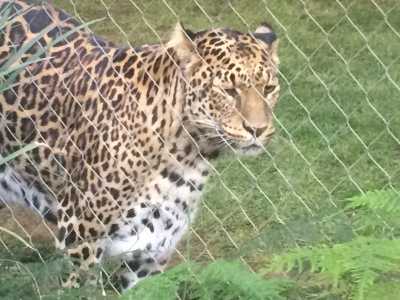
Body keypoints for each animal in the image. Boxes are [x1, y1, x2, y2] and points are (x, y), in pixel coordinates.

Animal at [0, 0, 280, 292]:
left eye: (269, 88)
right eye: (229, 91)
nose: (258, 129)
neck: (187, 154)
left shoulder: (152, 252)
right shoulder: (80, 236)